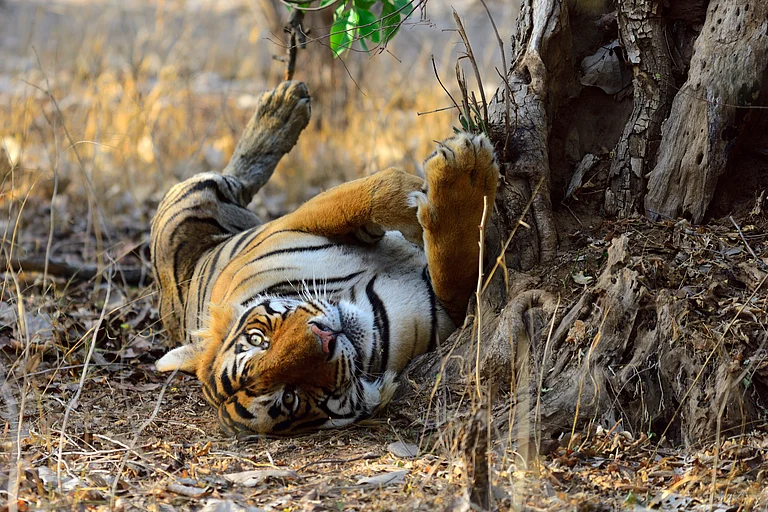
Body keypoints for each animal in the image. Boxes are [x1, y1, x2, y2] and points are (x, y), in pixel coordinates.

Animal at [152, 81, 499, 435]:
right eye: (289, 398)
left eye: (257, 339)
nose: (326, 338)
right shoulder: (450, 314)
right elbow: (456, 275)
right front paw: (464, 176)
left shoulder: (296, 221)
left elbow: (370, 194)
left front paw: (454, 174)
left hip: (196, 196)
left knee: (239, 177)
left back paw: (283, 105)